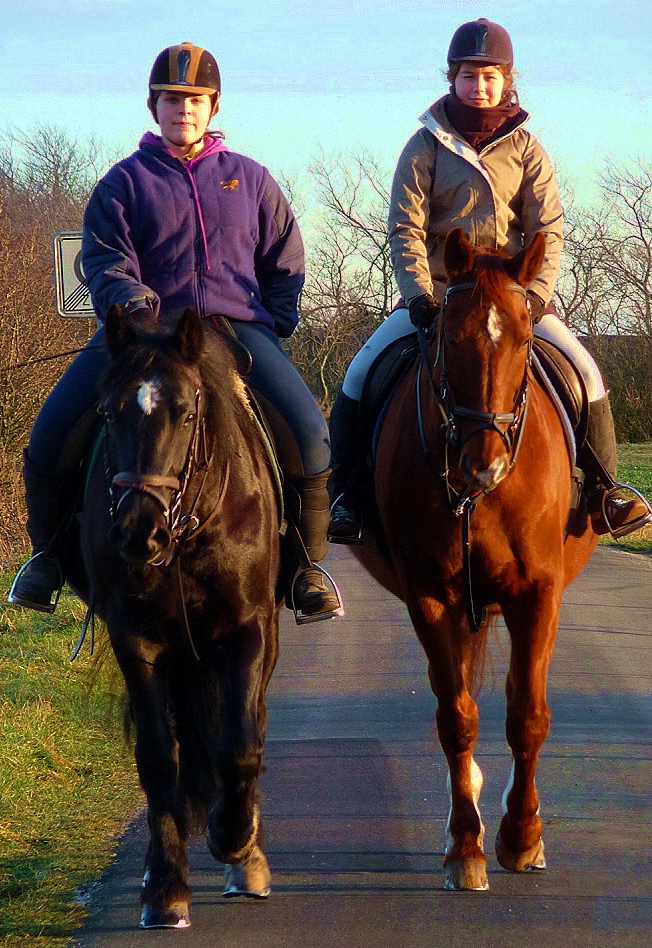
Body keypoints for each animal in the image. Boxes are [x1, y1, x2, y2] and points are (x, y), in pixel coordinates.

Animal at [66, 308, 282, 928]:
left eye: (187, 413)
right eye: (109, 412)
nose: (139, 532)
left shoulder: (247, 630)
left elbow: (240, 744)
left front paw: (234, 841)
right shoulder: (135, 639)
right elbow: (160, 756)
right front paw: (164, 886)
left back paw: (245, 853)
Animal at [354, 228, 600, 888]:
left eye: (524, 340)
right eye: (447, 338)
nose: (482, 465)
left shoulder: (538, 594)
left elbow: (528, 715)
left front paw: (521, 837)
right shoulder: (430, 596)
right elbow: (456, 717)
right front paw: (467, 845)